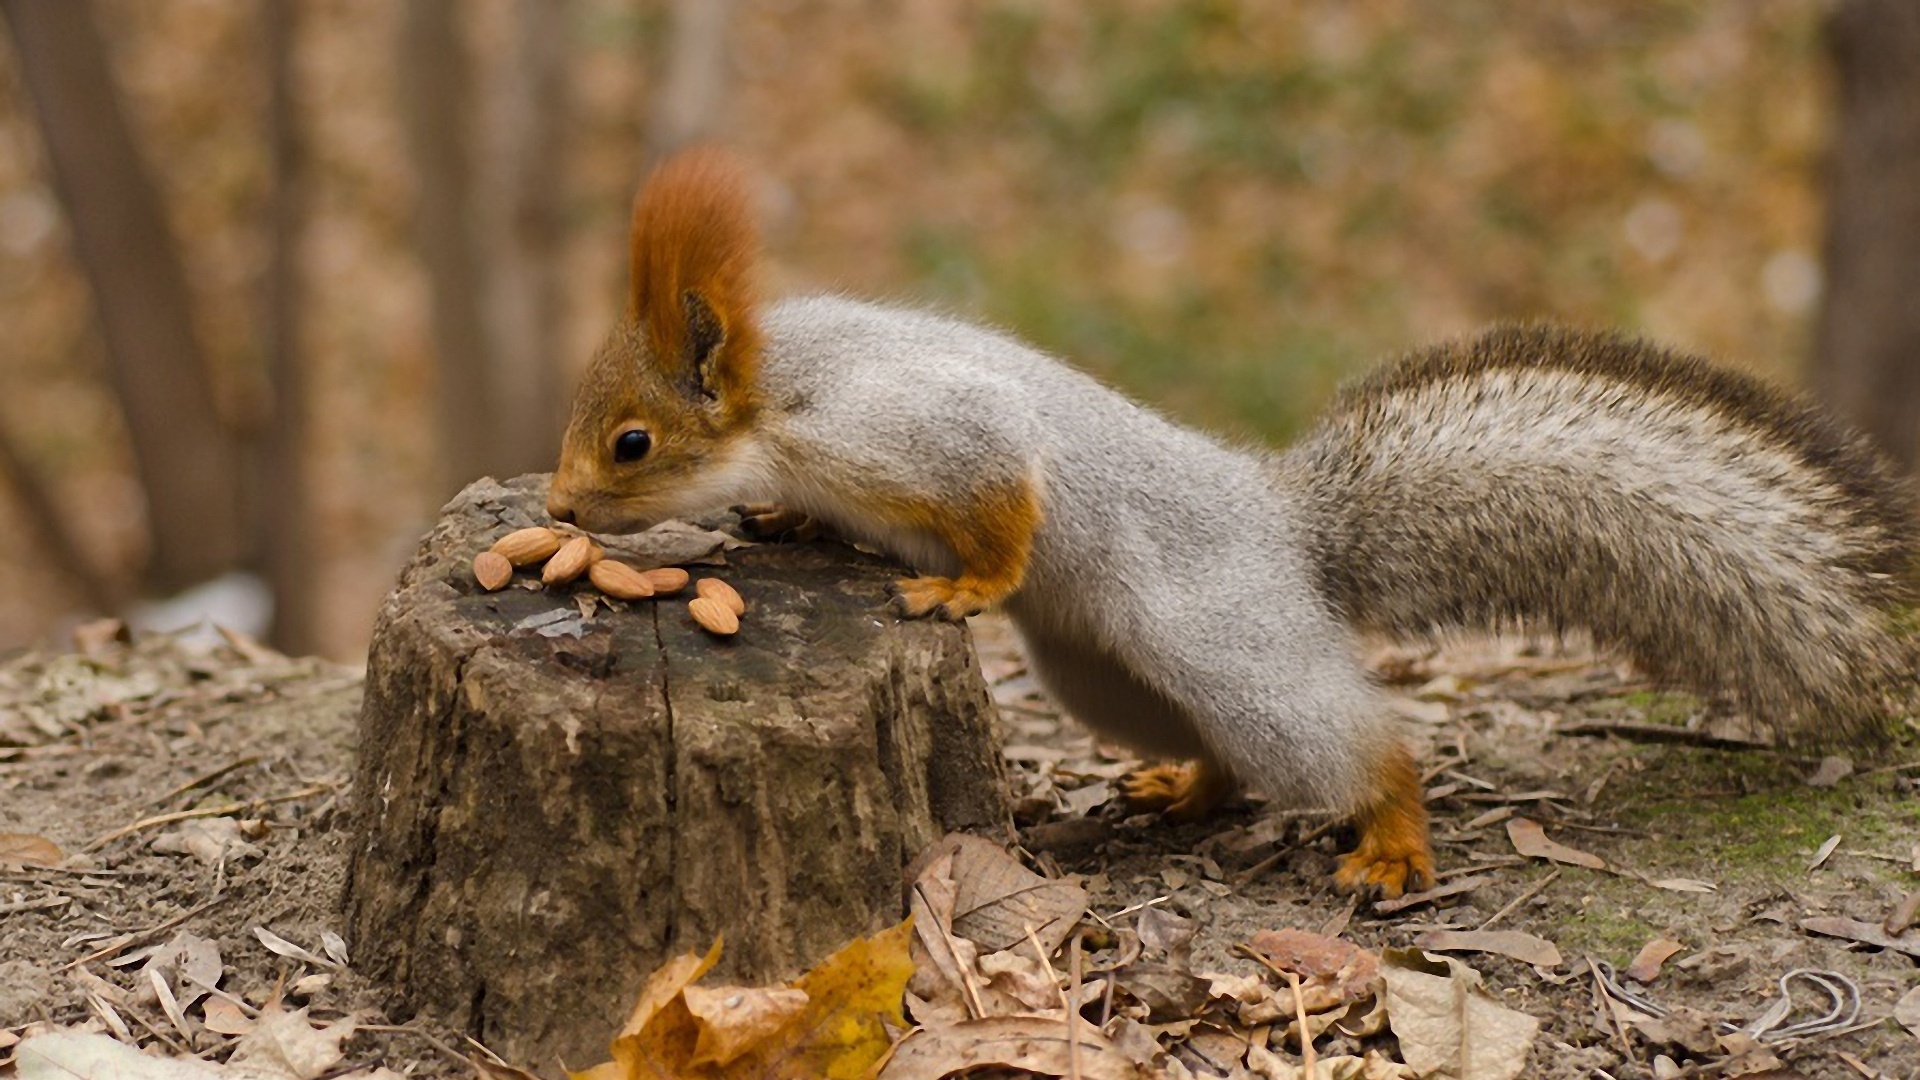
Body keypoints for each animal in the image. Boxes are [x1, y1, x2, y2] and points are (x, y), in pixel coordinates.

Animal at [545, 148, 1920, 891]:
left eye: (632, 443)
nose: (557, 504)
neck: (779, 393)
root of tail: (1289, 532)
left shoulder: (910, 427)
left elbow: (1004, 492)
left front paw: (963, 585)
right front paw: (784, 528)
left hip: (1227, 643)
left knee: (1351, 747)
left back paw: (1393, 839)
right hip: (1104, 673)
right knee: (1218, 754)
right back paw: (1184, 787)